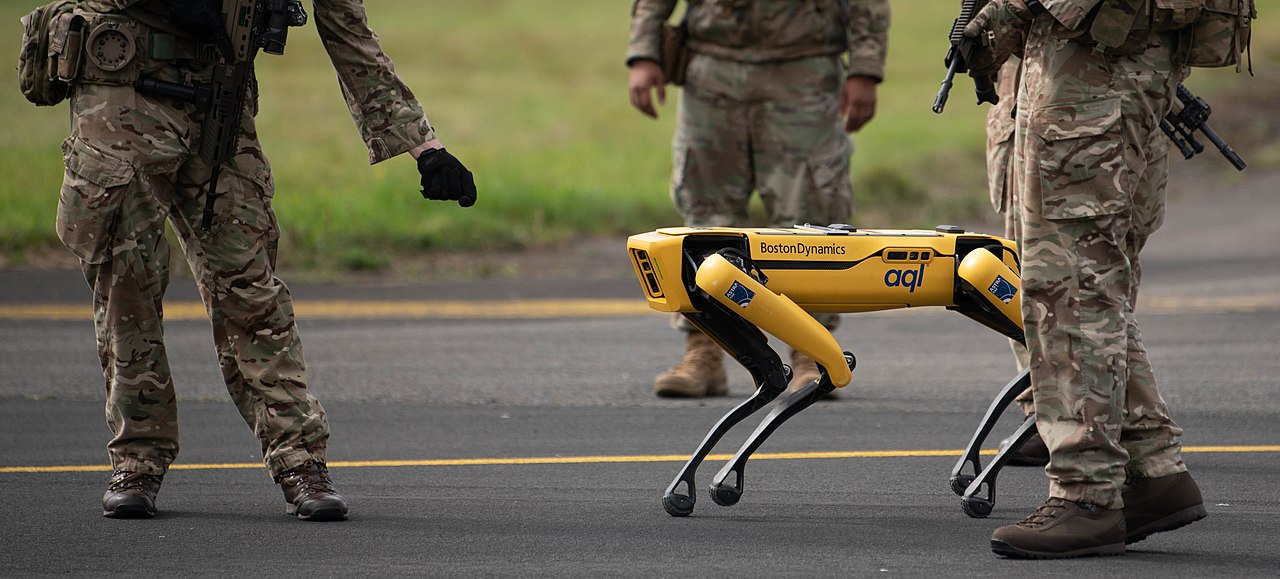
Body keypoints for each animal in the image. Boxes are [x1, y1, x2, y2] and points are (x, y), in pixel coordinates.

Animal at [629, 224, 1039, 517]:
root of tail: (1006, 247)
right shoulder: (716, 302)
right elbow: (780, 377)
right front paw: (699, 487)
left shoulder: (728, 274)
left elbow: (831, 369)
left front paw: (980, 492)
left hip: (985, 279)